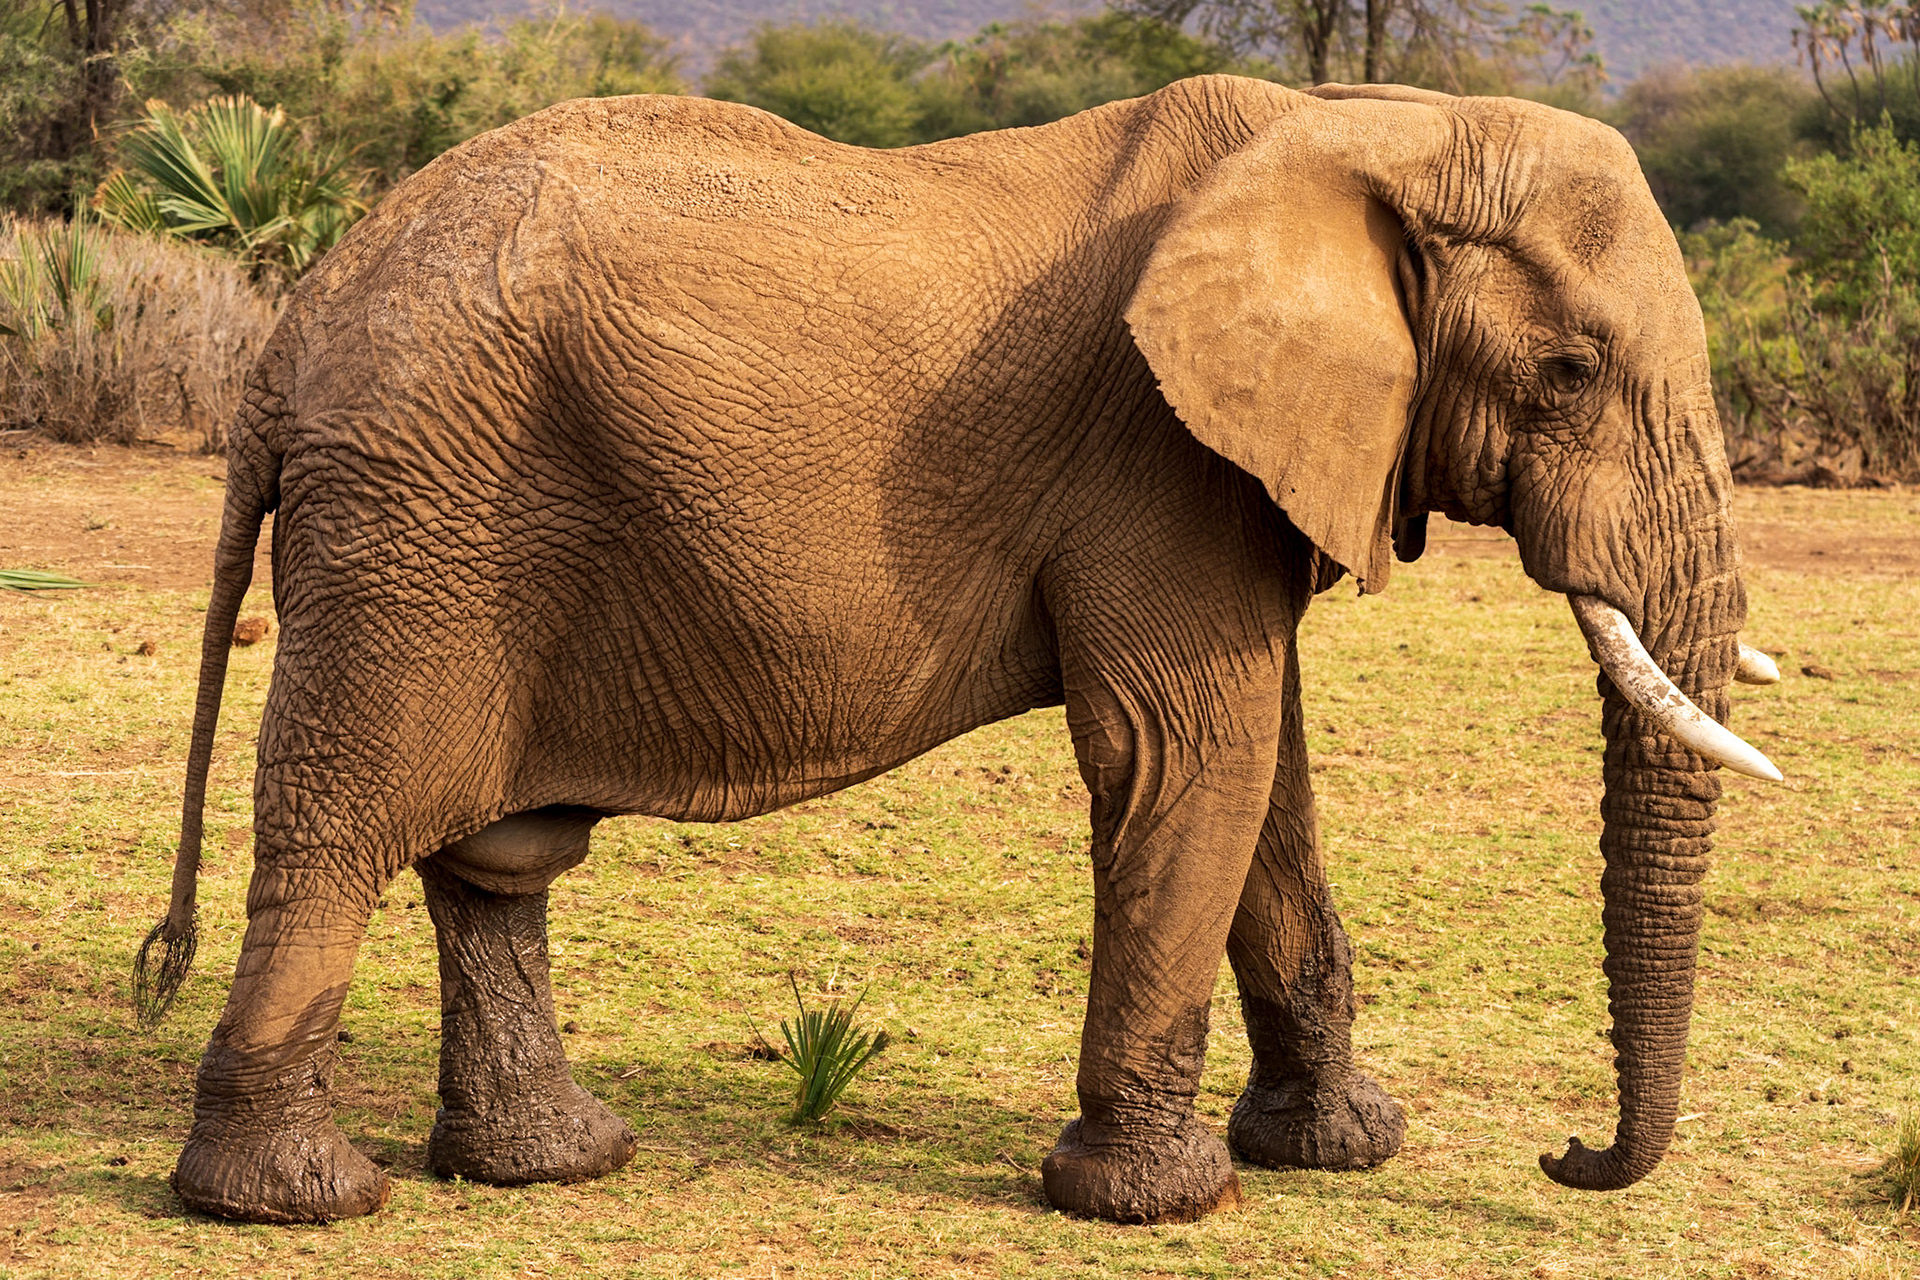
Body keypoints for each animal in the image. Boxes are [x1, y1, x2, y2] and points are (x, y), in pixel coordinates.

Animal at [136, 73, 1784, 1226]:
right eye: (1568, 371)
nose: (1569, 1153)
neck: (1373, 130)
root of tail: (287, 340)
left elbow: (1269, 778)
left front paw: (1340, 1152)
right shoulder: (1153, 457)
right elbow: (1190, 755)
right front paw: (1162, 1202)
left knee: (495, 855)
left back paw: (552, 1166)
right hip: (420, 523)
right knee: (346, 828)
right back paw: (295, 1203)